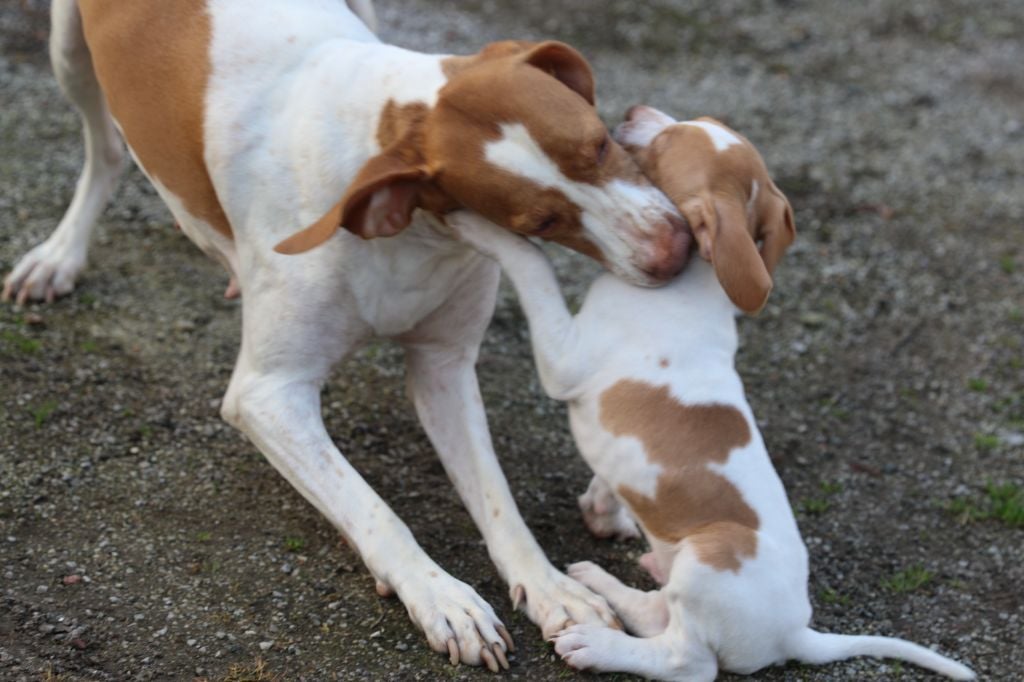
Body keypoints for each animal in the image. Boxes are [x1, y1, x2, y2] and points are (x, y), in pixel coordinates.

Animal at [2, 0, 696, 667]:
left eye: (601, 144)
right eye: (541, 220)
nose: (675, 252)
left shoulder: (444, 367)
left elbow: (498, 499)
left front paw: (552, 587)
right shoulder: (267, 397)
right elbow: (375, 510)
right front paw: (441, 598)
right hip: (69, 53)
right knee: (105, 148)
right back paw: (59, 254)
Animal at [450, 103, 974, 675]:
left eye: (667, 143)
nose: (634, 111)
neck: (699, 273)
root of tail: (795, 634)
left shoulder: (565, 358)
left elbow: (532, 264)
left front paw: (473, 223)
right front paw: (603, 508)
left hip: (710, 558)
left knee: (686, 660)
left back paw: (596, 643)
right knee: (658, 613)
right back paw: (605, 582)